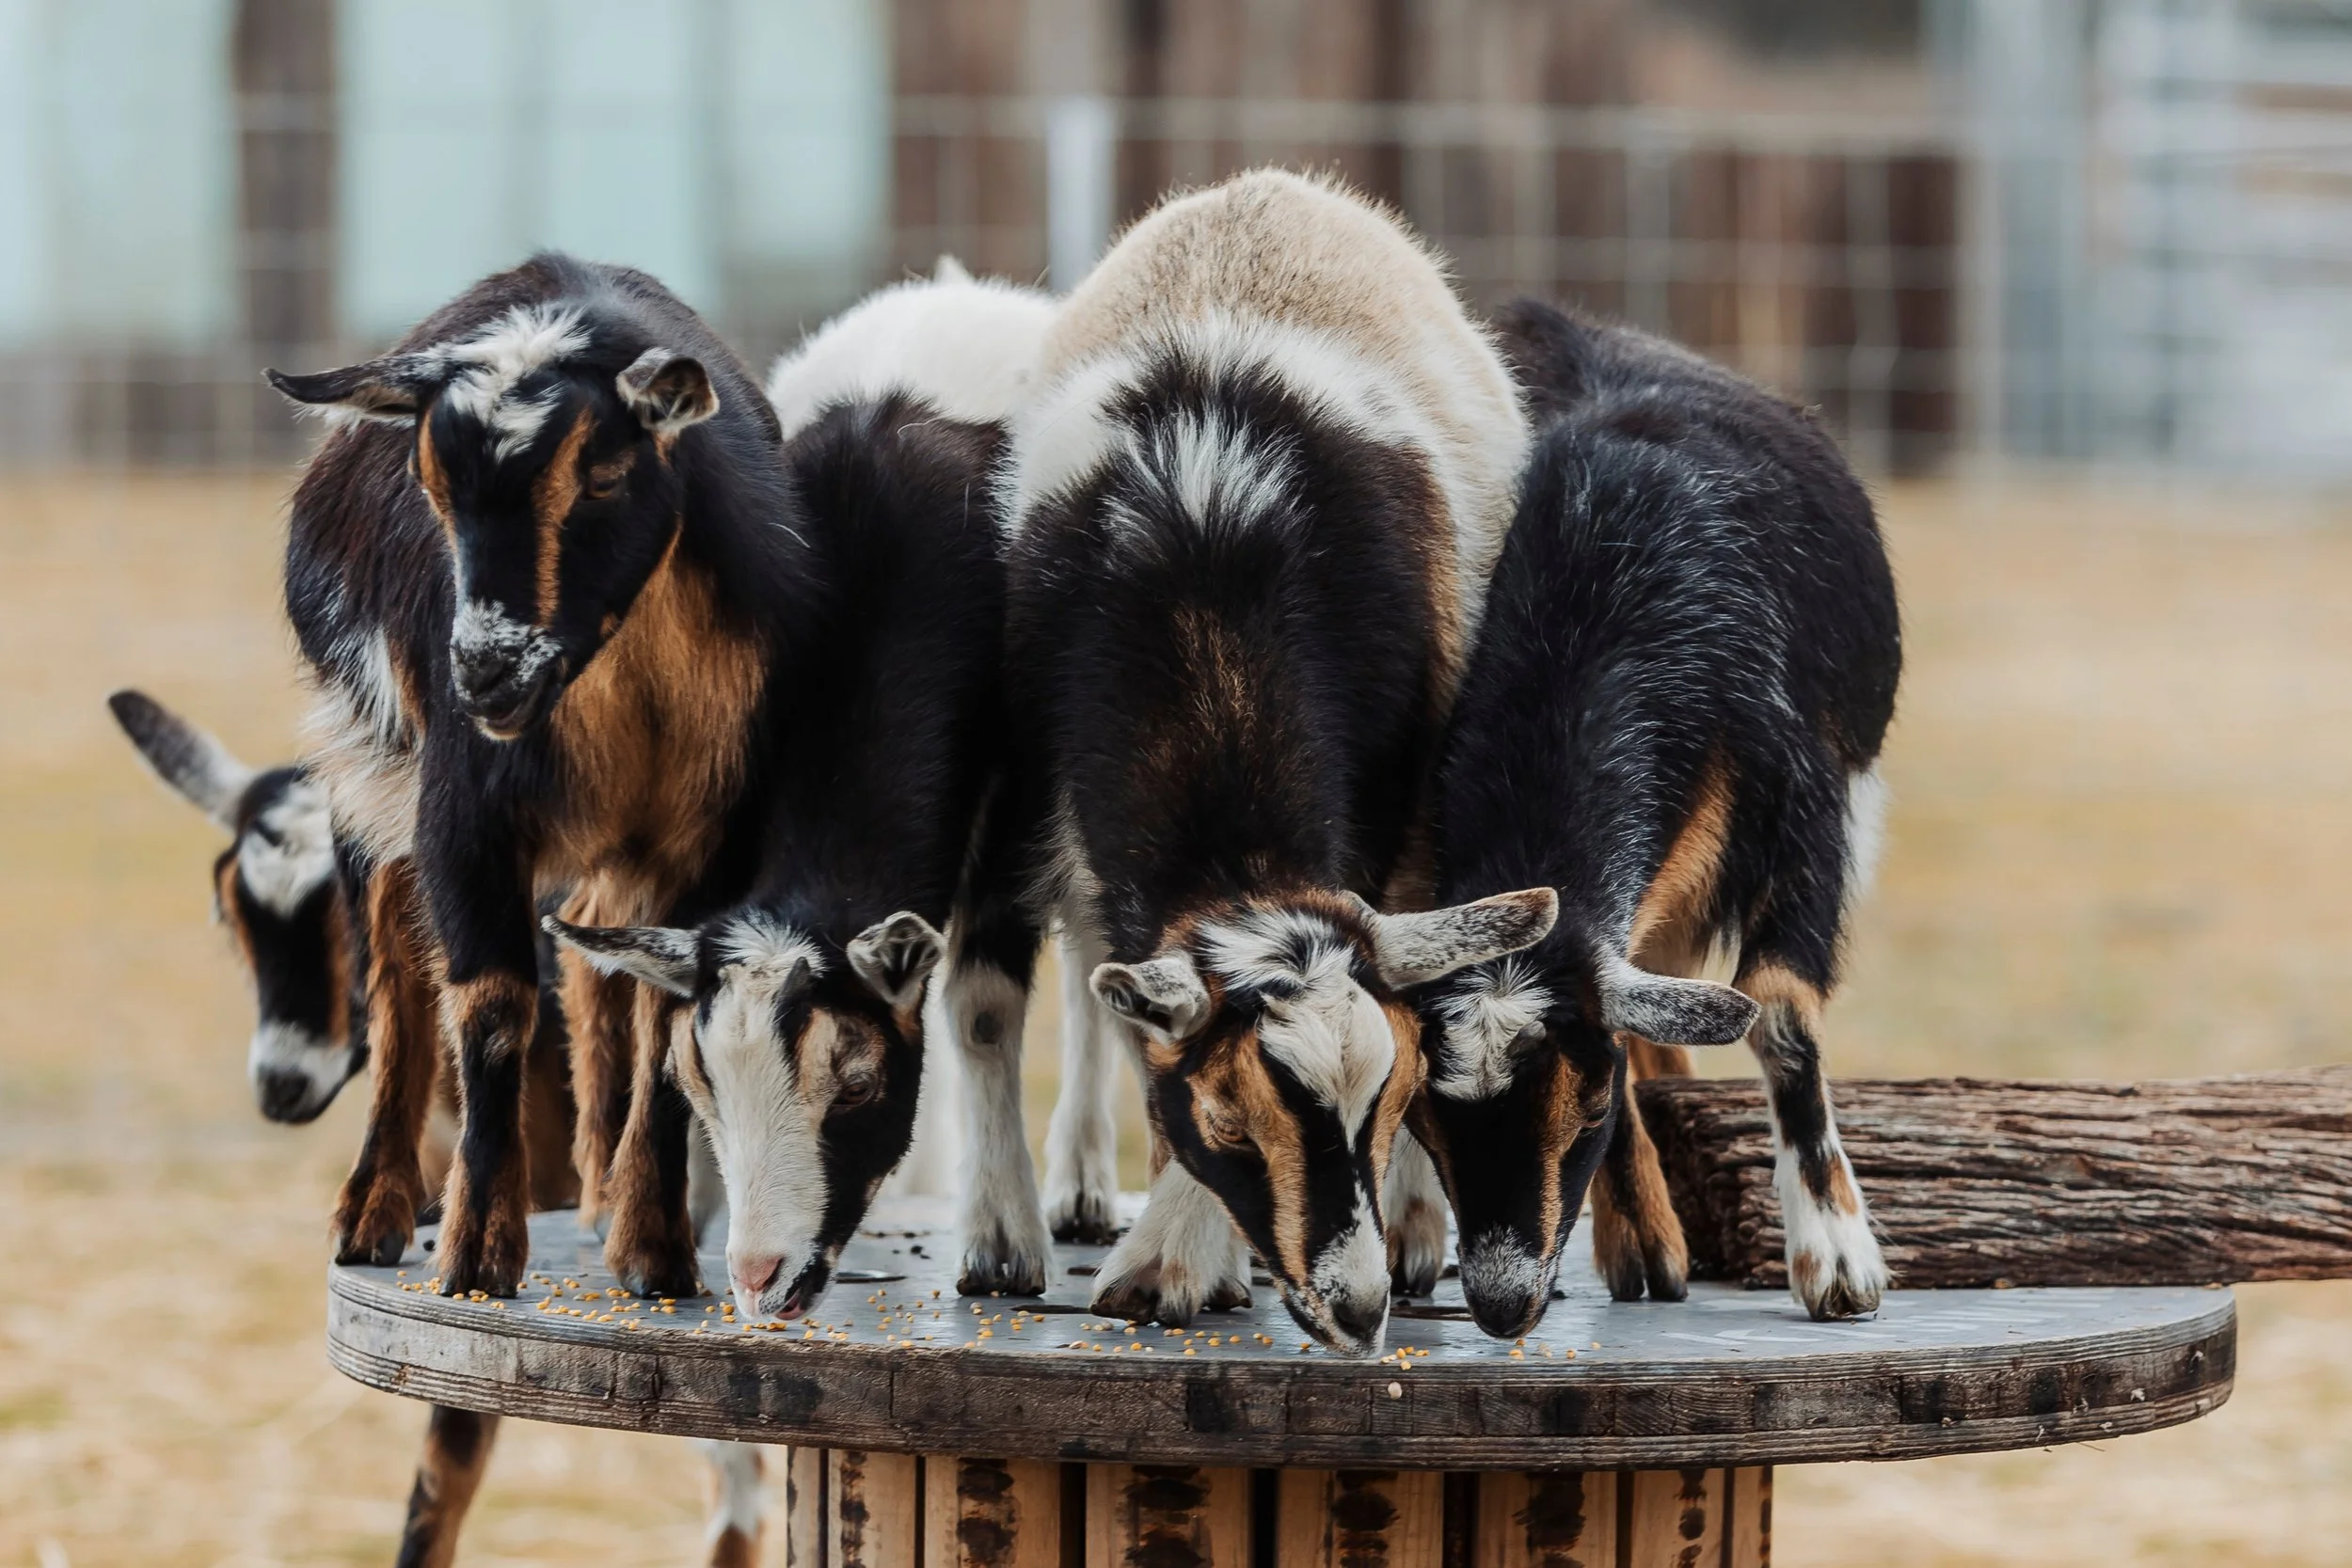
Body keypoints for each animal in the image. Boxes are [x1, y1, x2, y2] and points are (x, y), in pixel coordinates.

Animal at [549, 266, 1047, 1318]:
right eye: (698, 1079)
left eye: (855, 1080)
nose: (758, 1276)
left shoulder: (1021, 799)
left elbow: (983, 1005)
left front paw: (1002, 1243)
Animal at [983, 170, 1556, 1354]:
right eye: (1228, 1122)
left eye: (1392, 1096)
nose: (1358, 1306)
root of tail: (1274, 190)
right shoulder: (1077, 808)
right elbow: (1122, 1001)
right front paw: (1175, 1255)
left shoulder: (1395, 815)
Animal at [1404, 297, 1899, 1336]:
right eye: (1423, 1114)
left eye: (1585, 1106)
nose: (1502, 1302)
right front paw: (1640, 1237)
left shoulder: (1807, 816)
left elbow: (1779, 1016)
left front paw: (1836, 1254)